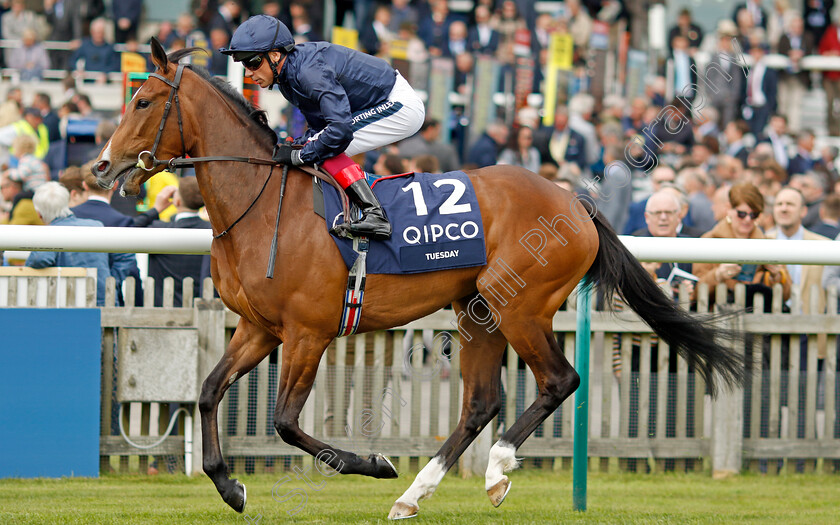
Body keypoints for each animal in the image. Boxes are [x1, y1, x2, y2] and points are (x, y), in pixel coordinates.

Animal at [93, 40, 740, 516]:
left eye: (143, 100)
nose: (101, 165)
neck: (259, 202)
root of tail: (573, 203)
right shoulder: (259, 329)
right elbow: (207, 392)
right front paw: (230, 487)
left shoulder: (307, 332)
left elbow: (284, 422)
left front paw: (374, 464)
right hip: (478, 310)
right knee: (481, 402)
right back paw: (415, 493)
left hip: (522, 306)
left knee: (559, 380)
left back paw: (495, 470)